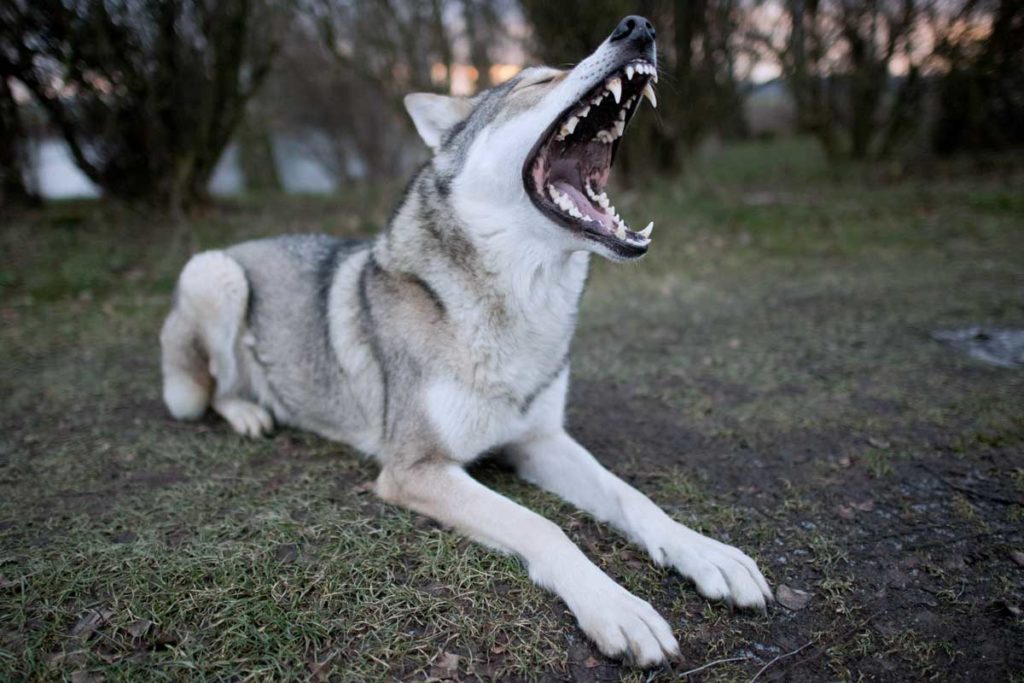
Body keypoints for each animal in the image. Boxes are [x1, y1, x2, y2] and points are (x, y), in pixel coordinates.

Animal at [159, 17, 770, 667]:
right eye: (537, 81)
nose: (638, 27)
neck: (520, 305)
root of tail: (245, 243)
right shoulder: (415, 470)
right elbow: (543, 525)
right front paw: (618, 607)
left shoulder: (540, 440)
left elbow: (633, 498)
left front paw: (707, 553)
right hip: (214, 275)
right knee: (216, 391)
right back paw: (250, 413)